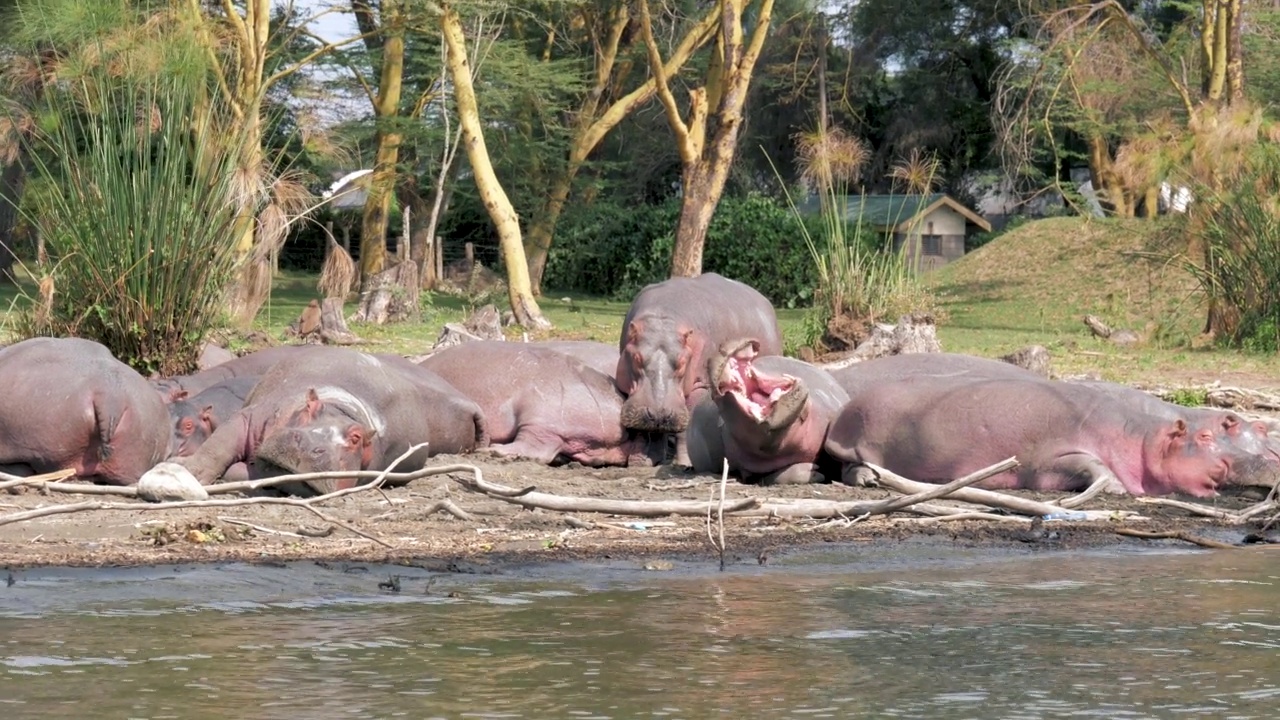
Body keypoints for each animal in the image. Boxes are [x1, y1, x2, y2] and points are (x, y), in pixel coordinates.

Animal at [140, 343, 486, 491]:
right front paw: (188, 471)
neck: (341, 409)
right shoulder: (250, 416)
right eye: (309, 409)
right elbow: (218, 445)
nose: (309, 445)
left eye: (356, 438)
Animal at [616, 271, 783, 461]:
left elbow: (687, 426)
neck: (663, 318)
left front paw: (683, 462)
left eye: (682, 362)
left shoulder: (699, 384)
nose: (659, 414)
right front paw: (642, 461)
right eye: (636, 358)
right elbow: (647, 430)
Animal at [829, 371, 1259, 497]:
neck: (1143, 439)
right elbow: (1090, 465)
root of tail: (845, 409)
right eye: (1204, 438)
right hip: (856, 440)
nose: (1233, 461)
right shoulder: (1052, 456)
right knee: (849, 467)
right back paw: (868, 480)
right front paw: (1116, 488)